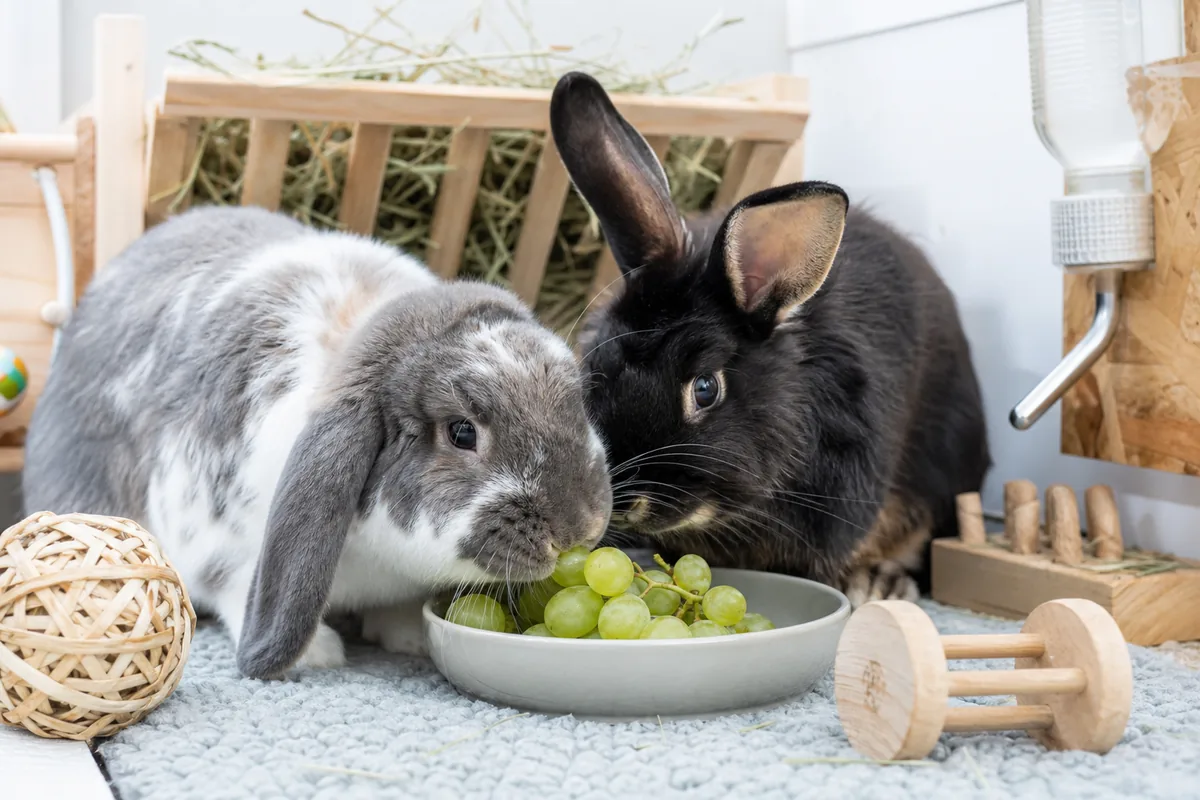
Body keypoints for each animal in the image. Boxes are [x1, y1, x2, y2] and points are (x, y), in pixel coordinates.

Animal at [22, 204, 613, 678]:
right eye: (462, 432)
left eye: (575, 399)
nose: (581, 528)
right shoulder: (221, 543)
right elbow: (237, 587)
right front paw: (316, 655)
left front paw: (411, 638)